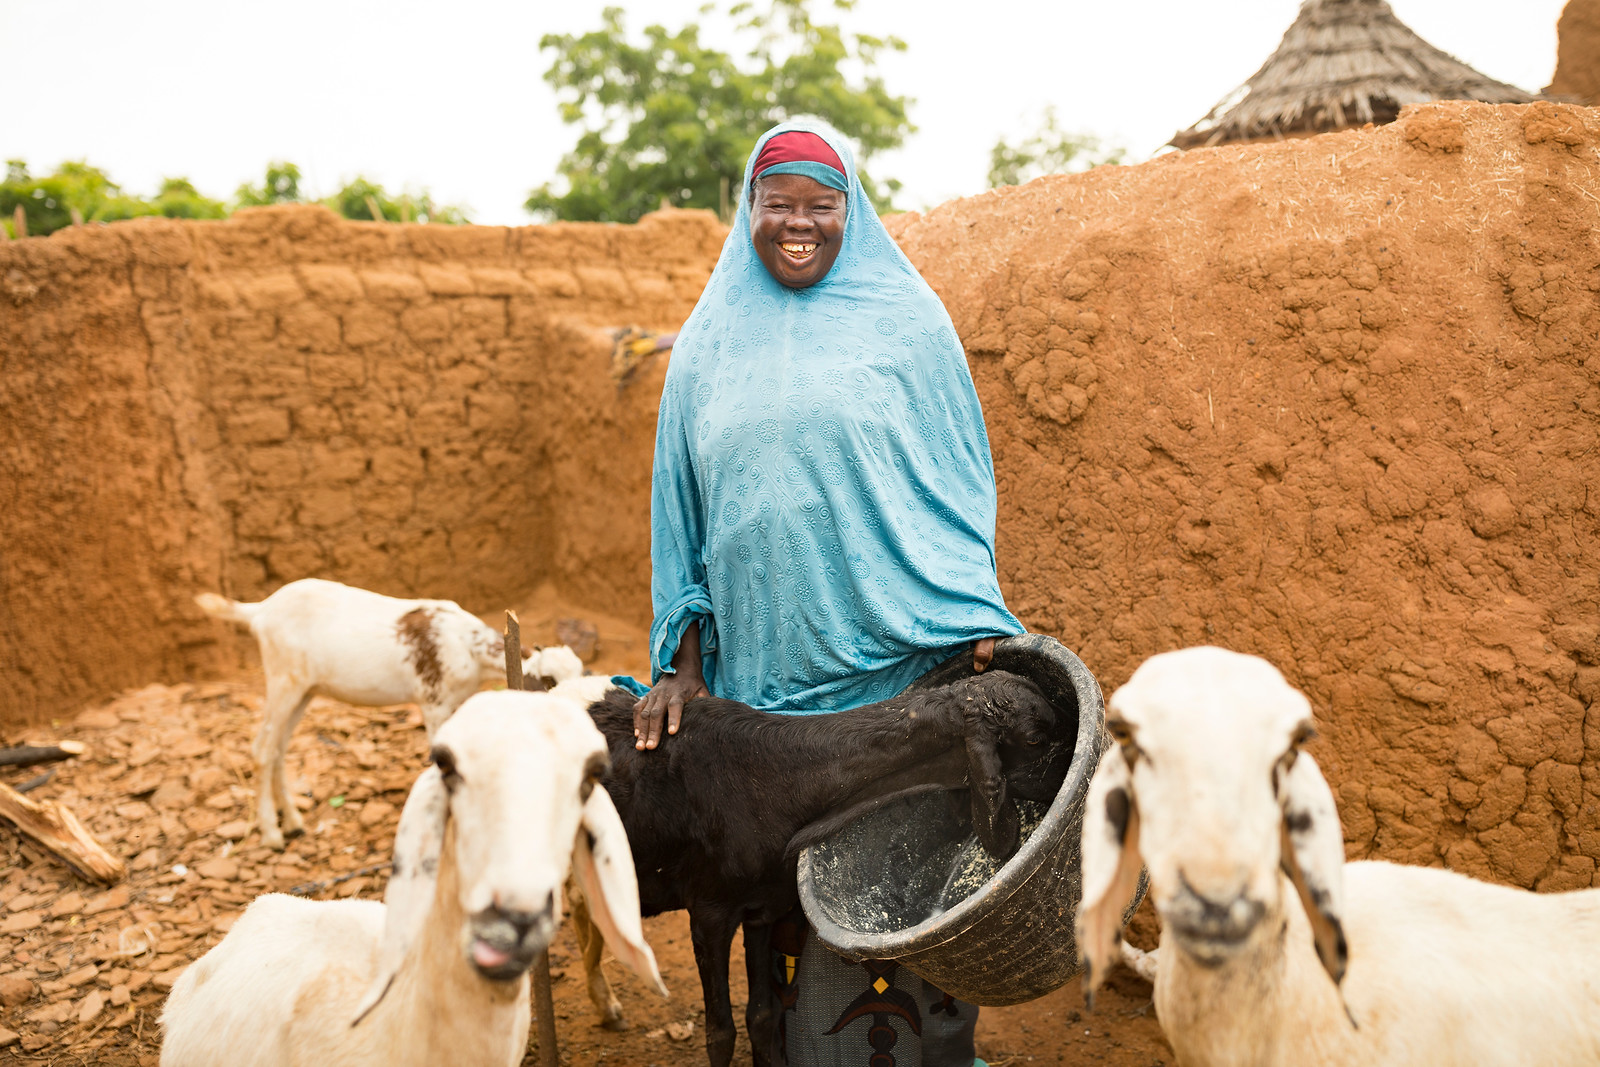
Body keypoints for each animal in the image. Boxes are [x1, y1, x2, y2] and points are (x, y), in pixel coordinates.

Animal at [196, 579, 576, 844]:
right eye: (547, 680)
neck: (467, 645)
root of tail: (260, 610)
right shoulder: (433, 702)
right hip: (282, 678)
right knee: (262, 748)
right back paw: (272, 834)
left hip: (303, 689)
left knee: (278, 748)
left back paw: (292, 823)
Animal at [576, 671, 1062, 1067]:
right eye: (1035, 738)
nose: (1062, 777)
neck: (774, 778)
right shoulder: (709, 912)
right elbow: (720, 1032)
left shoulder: (763, 909)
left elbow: (762, 1016)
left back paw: (606, 1008)